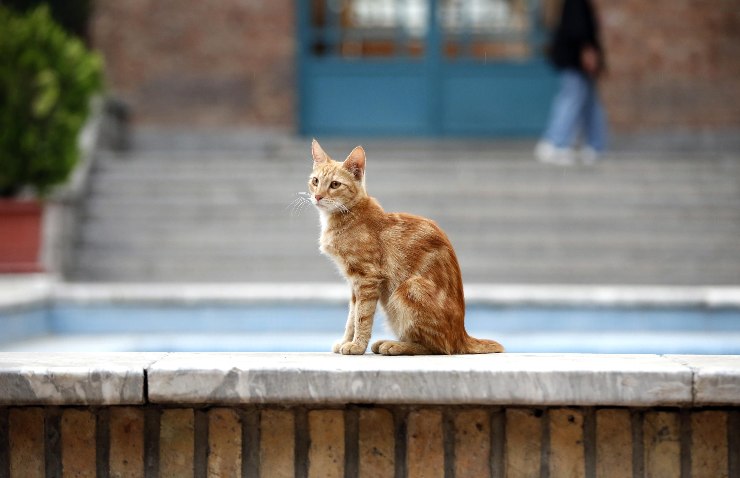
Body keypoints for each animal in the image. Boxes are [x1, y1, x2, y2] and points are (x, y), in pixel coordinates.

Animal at [306, 139, 502, 354]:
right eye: (315, 181)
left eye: (335, 184)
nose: (318, 196)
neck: (346, 215)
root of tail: (462, 335)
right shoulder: (355, 285)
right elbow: (351, 317)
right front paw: (346, 341)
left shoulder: (367, 279)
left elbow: (362, 317)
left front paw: (357, 345)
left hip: (409, 287)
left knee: (438, 348)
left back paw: (394, 345)